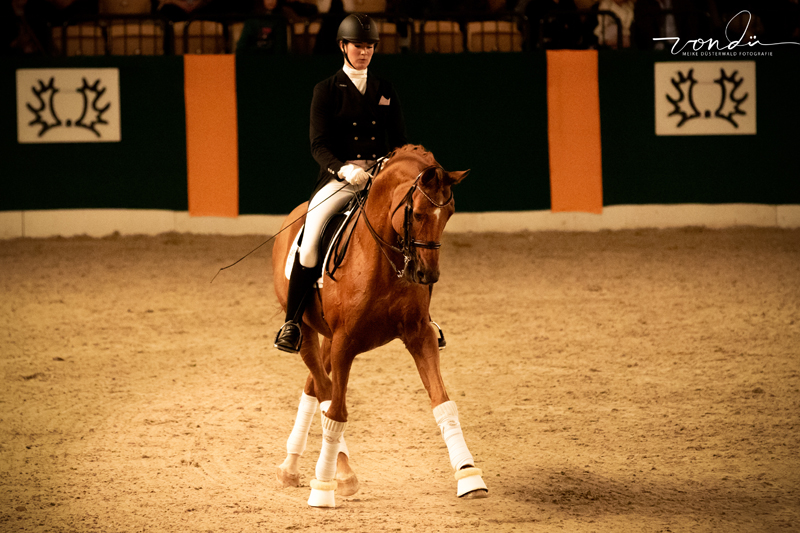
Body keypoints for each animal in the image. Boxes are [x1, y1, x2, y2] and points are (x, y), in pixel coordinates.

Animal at [270, 144, 488, 508]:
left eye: (449, 213)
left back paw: (295, 467)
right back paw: (335, 474)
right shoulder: (345, 343)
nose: (428, 275)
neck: (384, 261)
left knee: (315, 387)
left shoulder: (419, 334)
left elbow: (443, 402)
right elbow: (338, 412)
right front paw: (323, 489)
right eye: (418, 214)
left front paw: (469, 476)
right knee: (324, 390)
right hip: (309, 332)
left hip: (328, 338)